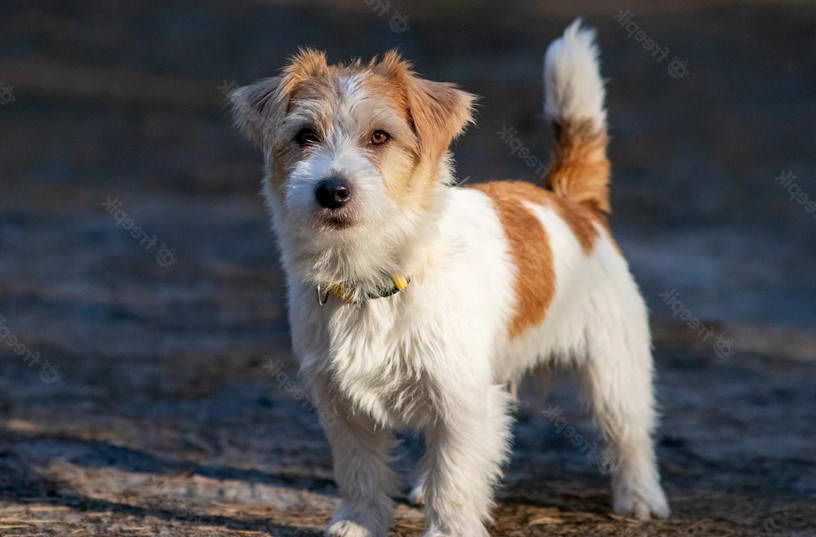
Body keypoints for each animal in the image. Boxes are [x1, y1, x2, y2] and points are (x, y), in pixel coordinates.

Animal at [228, 19, 668, 536]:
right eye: (304, 136)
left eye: (380, 136)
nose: (331, 191)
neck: (374, 277)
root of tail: (569, 202)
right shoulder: (342, 404)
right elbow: (359, 473)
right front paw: (358, 523)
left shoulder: (462, 400)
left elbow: (455, 481)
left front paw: (449, 528)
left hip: (613, 367)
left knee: (629, 433)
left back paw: (640, 496)